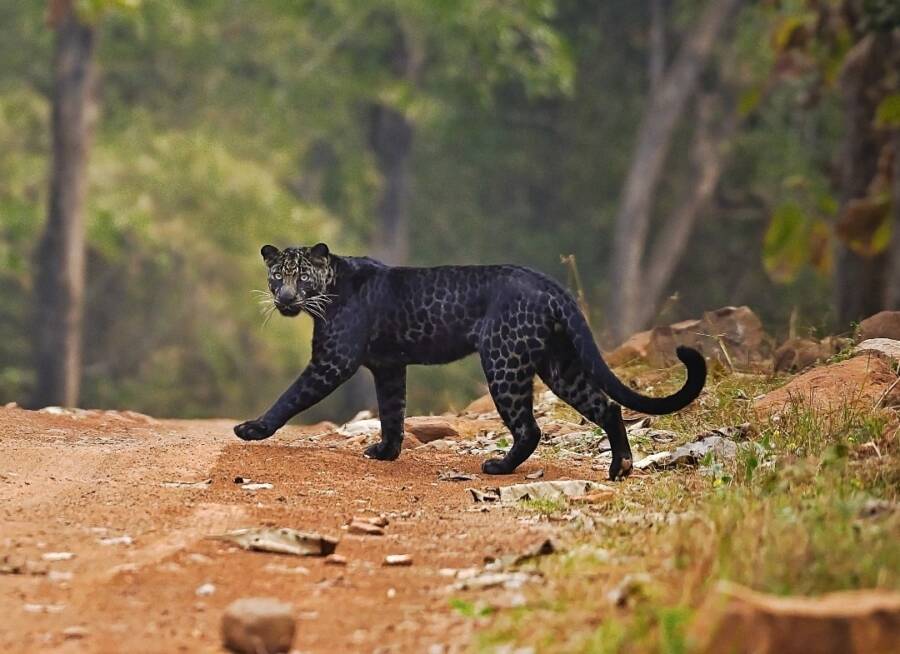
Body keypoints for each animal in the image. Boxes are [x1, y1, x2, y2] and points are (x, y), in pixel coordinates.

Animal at [234, 243, 712, 480]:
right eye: (276, 276)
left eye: (301, 277)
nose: (285, 298)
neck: (328, 290)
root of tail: (550, 285)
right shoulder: (388, 367)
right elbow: (392, 412)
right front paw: (386, 453)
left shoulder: (333, 360)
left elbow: (291, 396)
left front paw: (253, 429)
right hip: (558, 365)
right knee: (607, 407)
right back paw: (620, 469)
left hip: (504, 361)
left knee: (530, 427)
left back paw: (498, 468)